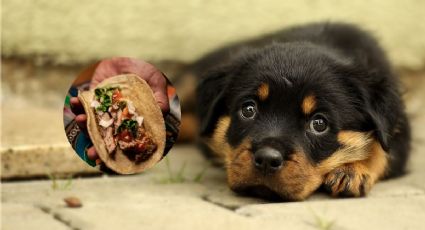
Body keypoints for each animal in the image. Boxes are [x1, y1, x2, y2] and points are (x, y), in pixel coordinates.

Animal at [193, 22, 410, 200]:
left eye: (319, 123)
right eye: (248, 110)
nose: (266, 159)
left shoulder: (398, 126)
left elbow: (382, 150)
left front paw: (351, 170)